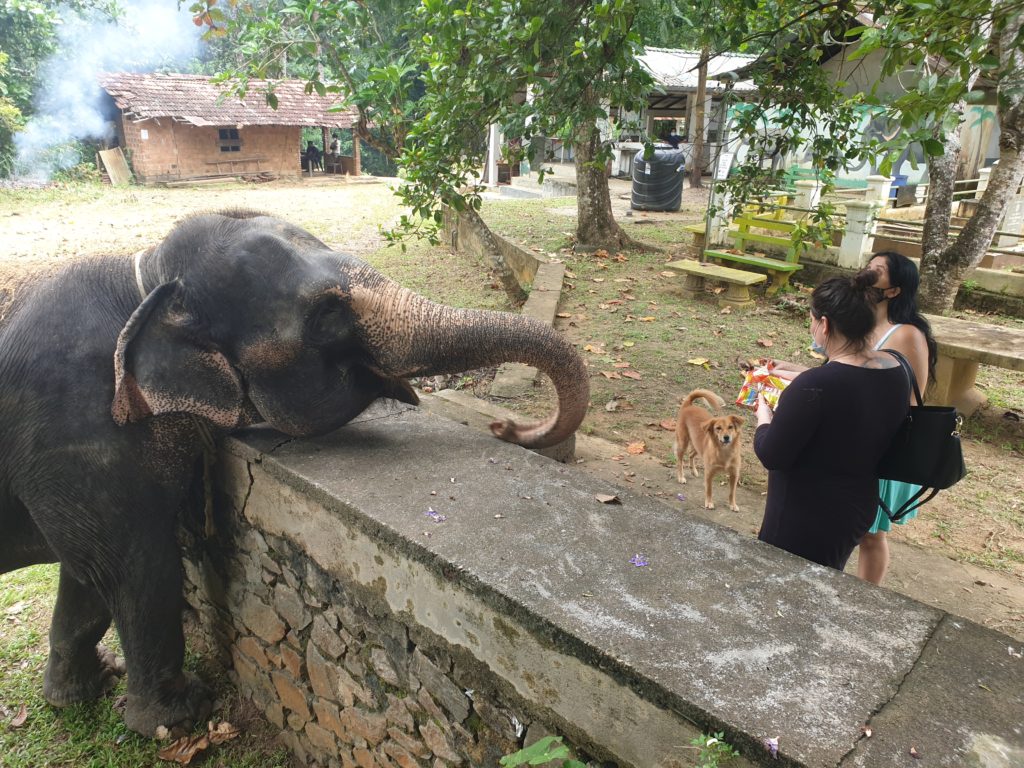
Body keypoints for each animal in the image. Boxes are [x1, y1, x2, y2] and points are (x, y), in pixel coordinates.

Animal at [0, 210, 593, 741]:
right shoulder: (74, 426)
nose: (505, 426)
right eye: (327, 314)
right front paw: (180, 719)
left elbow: (87, 573)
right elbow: (130, 567)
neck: (145, 276)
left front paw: (82, 692)